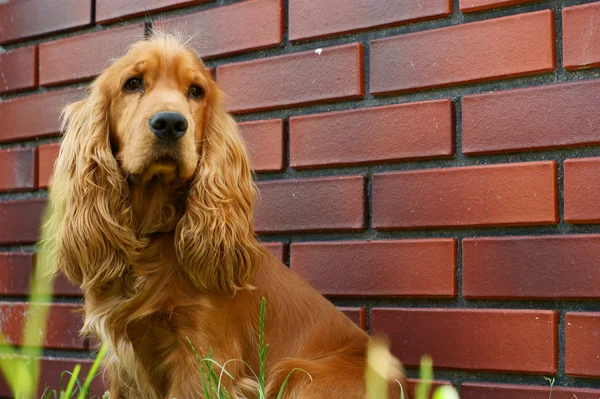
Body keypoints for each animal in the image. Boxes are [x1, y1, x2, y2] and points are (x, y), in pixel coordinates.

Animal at [42, 32, 404, 399]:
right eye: (132, 83)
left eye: (195, 91)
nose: (171, 123)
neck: (150, 235)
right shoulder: (124, 366)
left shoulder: (203, 354)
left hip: (300, 374)